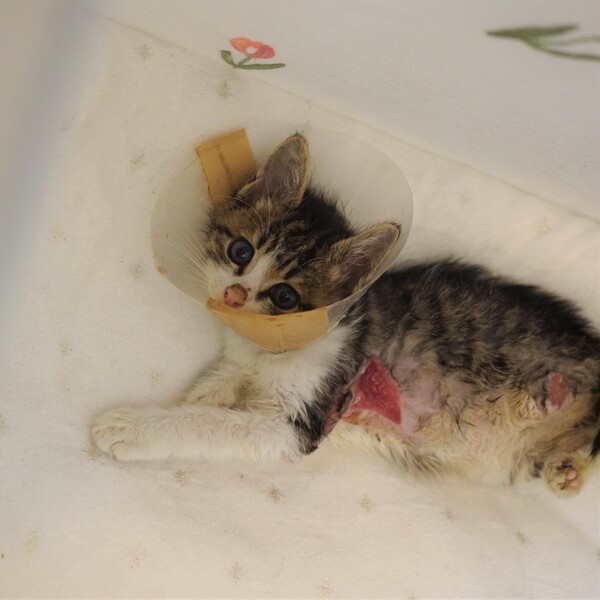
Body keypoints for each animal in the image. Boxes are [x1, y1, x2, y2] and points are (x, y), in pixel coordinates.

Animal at [92, 133, 600, 497]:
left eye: (285, 297)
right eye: (241, 251)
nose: (235, 295)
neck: (273, 347)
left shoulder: (306, 421)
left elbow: (216, 425)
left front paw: (131, 428)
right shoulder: (242, 364)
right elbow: (215, 388)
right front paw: (192, 396)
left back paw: (554, 430)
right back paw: (558, 456)